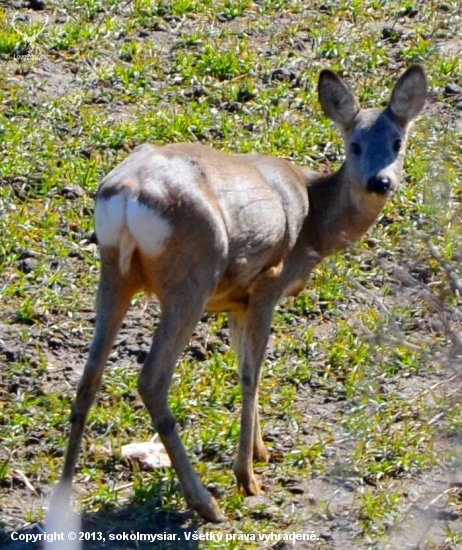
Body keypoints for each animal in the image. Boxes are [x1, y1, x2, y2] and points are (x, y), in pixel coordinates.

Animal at [52, 66, 428, 528]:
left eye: (397, 142)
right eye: (354, 144)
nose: (380, 181)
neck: (316, 224)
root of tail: (126, 196)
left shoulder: (236, 300)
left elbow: (240, 363)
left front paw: (261, 451)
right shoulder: (268, 284)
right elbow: (252, 373)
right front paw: (247, 476)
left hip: (113, 272)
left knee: (88, 378)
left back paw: (62, 500)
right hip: (191, 277)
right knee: (152, 380)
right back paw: (205, 504)